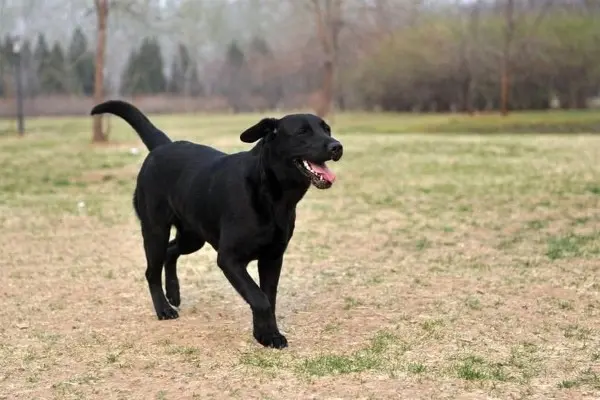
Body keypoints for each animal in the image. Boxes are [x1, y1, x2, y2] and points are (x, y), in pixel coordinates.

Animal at [89, 101, 342, 348]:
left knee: (171, 252)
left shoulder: (272, 258)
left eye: (327, 129)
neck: (271, 195)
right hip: (155, 231)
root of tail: (162, 146)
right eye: (302, 132)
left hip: (193, 237)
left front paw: (265, 334)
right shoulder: (229, 259)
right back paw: (164, 308)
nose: (337, 146)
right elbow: (259, 298)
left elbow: (268, 297)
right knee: (152, 271)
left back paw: (174, 292)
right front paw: (267, 334)